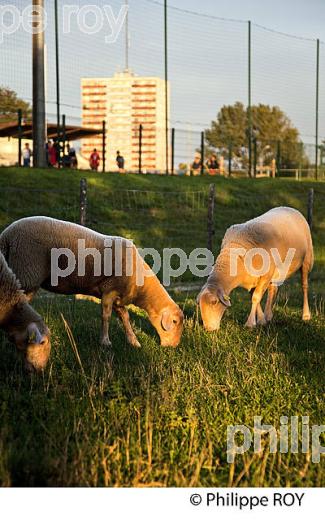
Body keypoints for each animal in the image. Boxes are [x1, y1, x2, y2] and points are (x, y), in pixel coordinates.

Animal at [0, 217, 182, 348]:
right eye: (174, 322)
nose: (173, 347)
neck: (141, 288)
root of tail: (6, 235)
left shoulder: (118, 297)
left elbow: (125, 318)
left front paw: (133, 341)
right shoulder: (109, 290)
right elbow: (106, 316)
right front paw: (105, 342)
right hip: (26, 272)